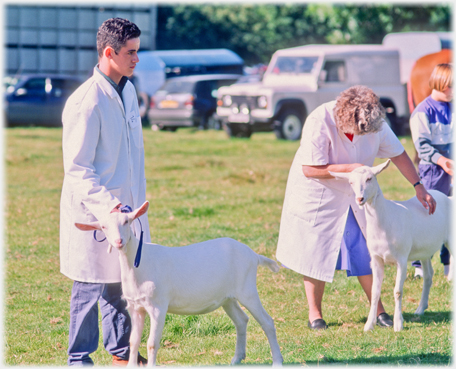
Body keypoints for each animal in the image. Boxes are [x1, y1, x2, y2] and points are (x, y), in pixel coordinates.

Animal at [75, 201, 282, 366]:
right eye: (103, 227)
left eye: (126, 221)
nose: (119, 241)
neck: (140, 264)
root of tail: (254, 255)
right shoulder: (135, 307)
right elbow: (133, 342)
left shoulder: (158, 305)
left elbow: (152, 343)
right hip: (227, 297)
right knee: (241, 320)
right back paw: (237, 359)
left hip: (247, 288)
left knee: (267, 321)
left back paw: (277, 361)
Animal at [330, 160, 450, 332]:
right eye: (351, 182)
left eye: (369, 178)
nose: (360, 198)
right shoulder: (376, 259)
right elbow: (374, 291)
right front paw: (369, 325)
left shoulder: (402, 258)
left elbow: (398, 291)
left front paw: (398, 324)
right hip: (425, 250)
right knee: (428, 276)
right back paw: (420, 309)